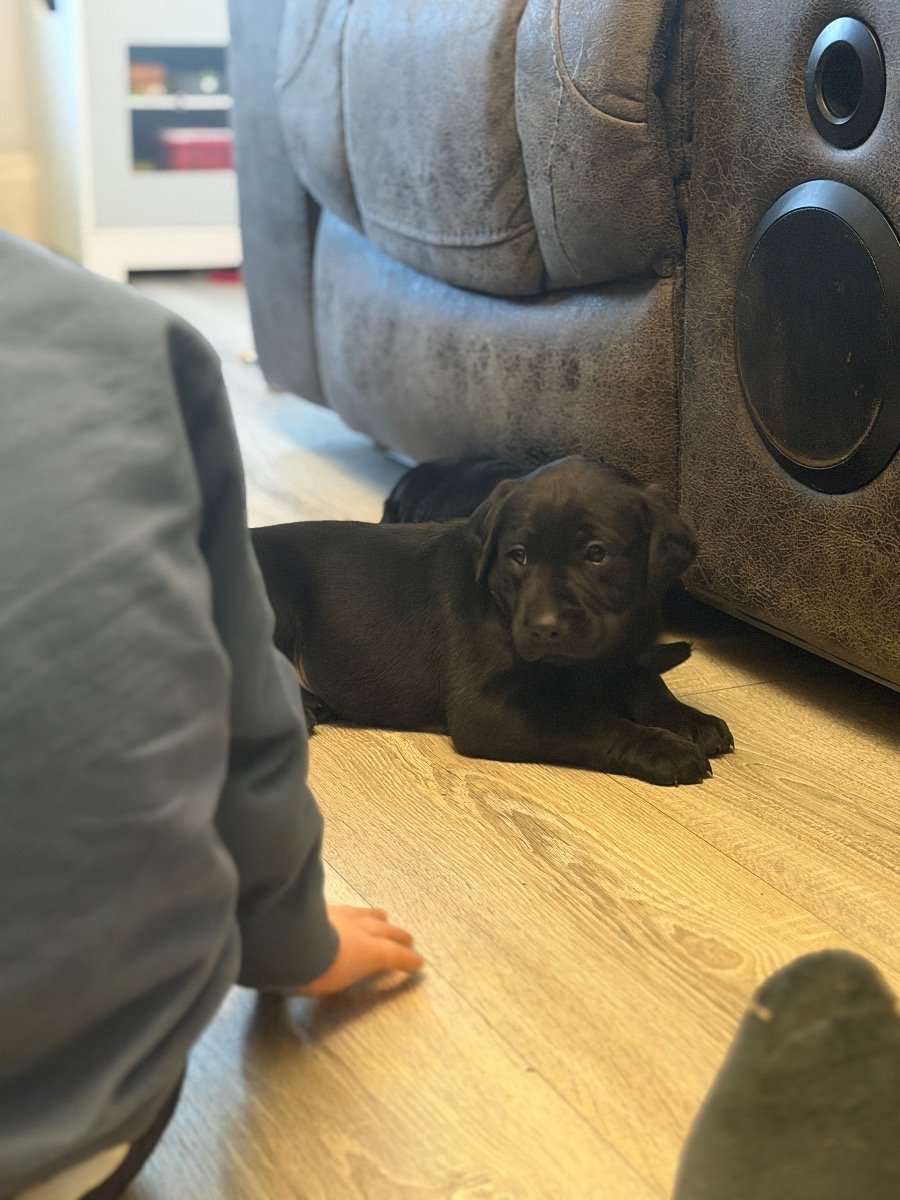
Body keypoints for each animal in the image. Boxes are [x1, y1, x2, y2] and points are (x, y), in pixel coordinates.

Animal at [251, 456, 733, 785]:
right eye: (518, 556)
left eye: (596, 553)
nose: (542, 628)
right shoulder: (487, 710)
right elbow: (587, 722)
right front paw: (663, 748)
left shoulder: (616, 649)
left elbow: (645, 680)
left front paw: (690, 719)